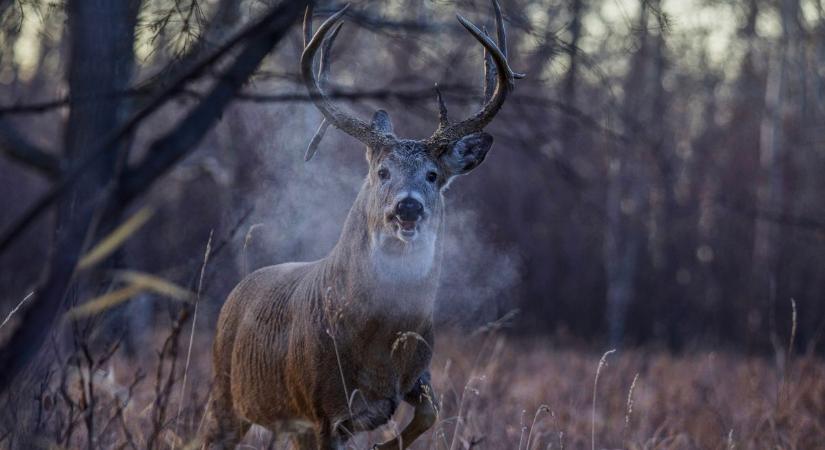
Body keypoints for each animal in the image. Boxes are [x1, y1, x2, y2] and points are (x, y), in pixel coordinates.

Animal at [201, 1, 520, 448]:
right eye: (383, 172)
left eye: (433, 175)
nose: (408, 207)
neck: (379, 342)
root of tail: (236, 293)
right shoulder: (322, 407)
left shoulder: (417, 374)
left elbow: (431, 413)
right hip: (226, 391)